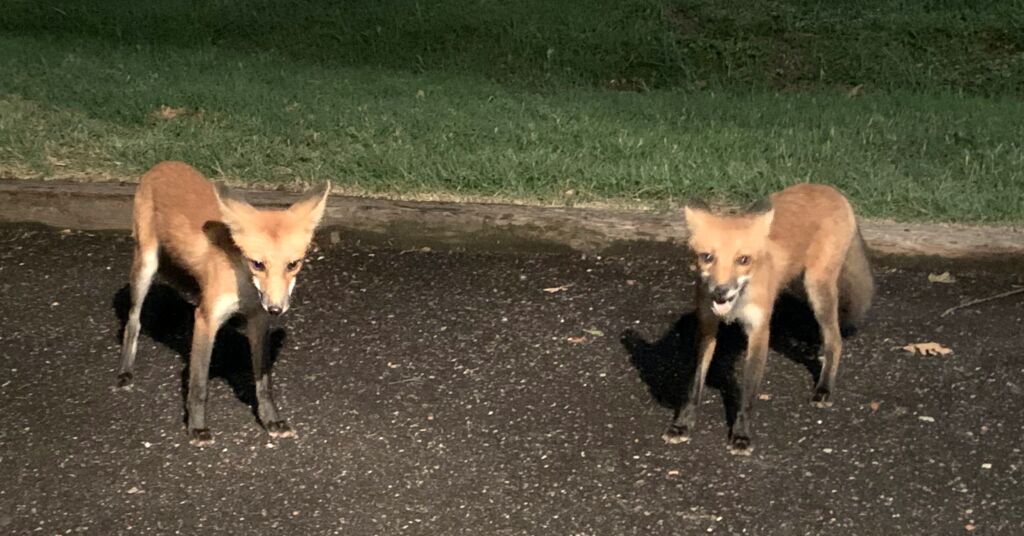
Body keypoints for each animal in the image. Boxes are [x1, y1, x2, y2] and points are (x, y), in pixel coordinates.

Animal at [117, 161, 330, 447]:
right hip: (146, 265)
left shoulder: (257, 321)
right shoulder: (206, 319)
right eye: (258, 264)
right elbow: (199, 383)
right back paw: (125, 371)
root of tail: (164, 164)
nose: (276, 309)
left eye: (292, 265)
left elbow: (263, 382)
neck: (244, 286)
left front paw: (271, 421)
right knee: (133, 321)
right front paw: (196, 427)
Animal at [664, 183, 874, 455]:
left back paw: (824, 387)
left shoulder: (759, 330)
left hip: (817, 287)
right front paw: (682, 425)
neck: (738, 302)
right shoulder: (707, 325)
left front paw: (741, 435)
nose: (720, 291)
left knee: (835, 341)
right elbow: (694, 383)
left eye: (743, 260)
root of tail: (827, 188)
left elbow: (748, 393)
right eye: (707, 257)